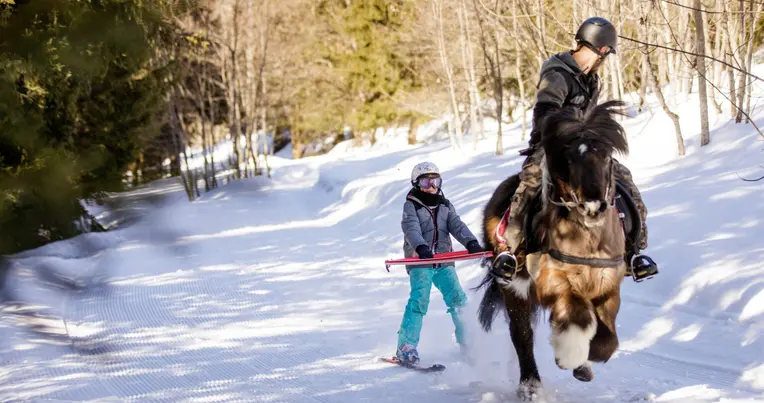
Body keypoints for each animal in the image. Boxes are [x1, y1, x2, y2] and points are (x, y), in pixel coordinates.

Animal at [478, 101, 632, 400]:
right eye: (569, 158)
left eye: (606, 155)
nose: (593, 206)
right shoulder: (554, 283)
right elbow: (576, 317)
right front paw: (568, 356)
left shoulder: (608, 287)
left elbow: (606, 341)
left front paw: (584, 364)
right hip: (513, 290)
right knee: (522, 336)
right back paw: (531, 387)